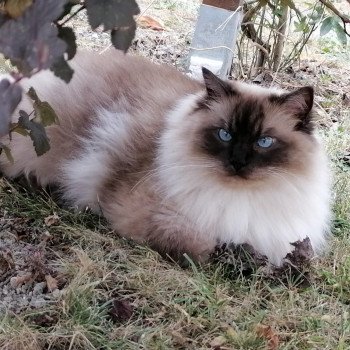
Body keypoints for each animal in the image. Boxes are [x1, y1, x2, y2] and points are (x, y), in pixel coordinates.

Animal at [0, 49, 332, 266]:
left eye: (264, 142)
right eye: (224, 134)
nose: (238, 163)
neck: (241, 198)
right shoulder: (152, 218)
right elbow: (204, 248)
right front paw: (236, 256)